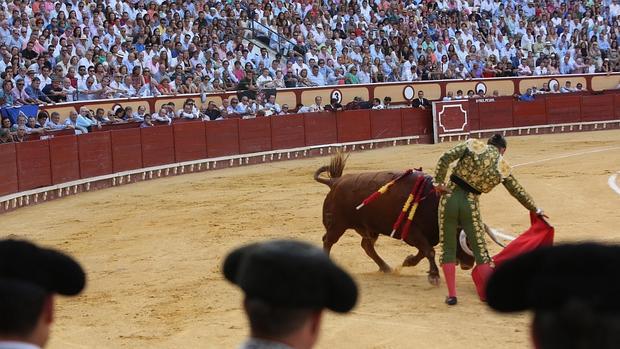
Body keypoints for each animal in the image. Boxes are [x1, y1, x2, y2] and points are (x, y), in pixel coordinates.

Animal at [314, 154, 474, 284]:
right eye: (466, 242)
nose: (469, 265)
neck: (432, 204)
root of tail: (335, 182)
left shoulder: (423, 236)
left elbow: (424, 252)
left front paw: (408, 261)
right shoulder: (412, 233)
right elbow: (429, 251)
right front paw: (434, 276)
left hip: (369, 228)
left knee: (366, 246)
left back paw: (386, 267)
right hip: (337, 226)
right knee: (328, 240)